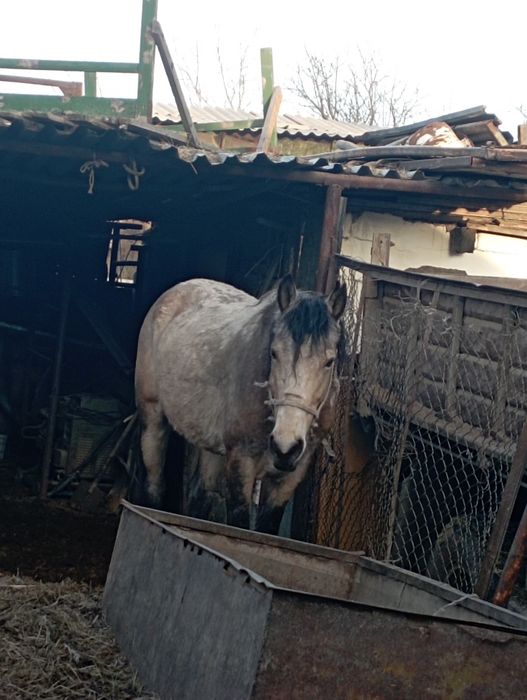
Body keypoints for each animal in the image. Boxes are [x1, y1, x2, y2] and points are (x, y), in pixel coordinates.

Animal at [134, 274, 347, 534]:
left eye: (329, 361)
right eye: (274, 353)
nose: (285, 446)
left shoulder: (291, 475)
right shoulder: (241, 462)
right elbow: (240, 524)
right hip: (153, 420)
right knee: (154, 486)